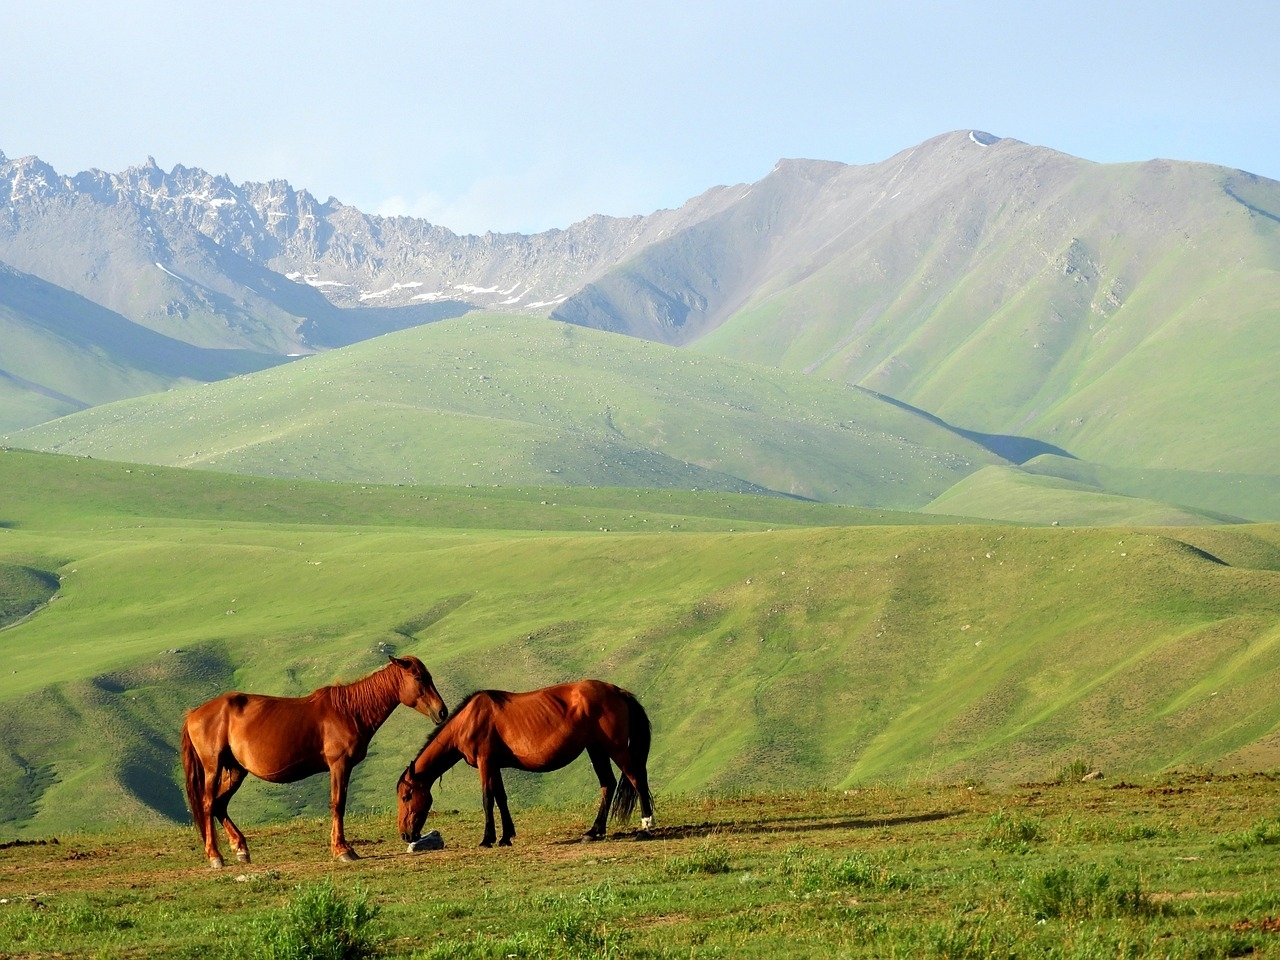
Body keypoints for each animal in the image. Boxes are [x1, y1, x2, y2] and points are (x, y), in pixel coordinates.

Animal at [180, 655, 448, 870]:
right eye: (419, 678)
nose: (442, 712)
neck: (349, 711)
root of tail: (194, 713)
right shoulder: (339, 765)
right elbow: (338, 804)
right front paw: (342, 850)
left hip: (236, 770)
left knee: (220, 804)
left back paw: (241, 849)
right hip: (213, 768)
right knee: (208, 804)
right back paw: (215, 856)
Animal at [396, 675, 660, 849]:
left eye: (406, 797)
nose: (405, 835)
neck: (469, 719)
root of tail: (618, 691)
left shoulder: (485, 762)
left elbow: (487, 798)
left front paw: (487, 839)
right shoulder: (495, 765)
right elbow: (501, 798)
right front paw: (505, 837)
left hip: (614, 747)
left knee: (636, 777)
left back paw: (645, 828)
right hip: (596, 749)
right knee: (608, 784)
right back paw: (594, 831)